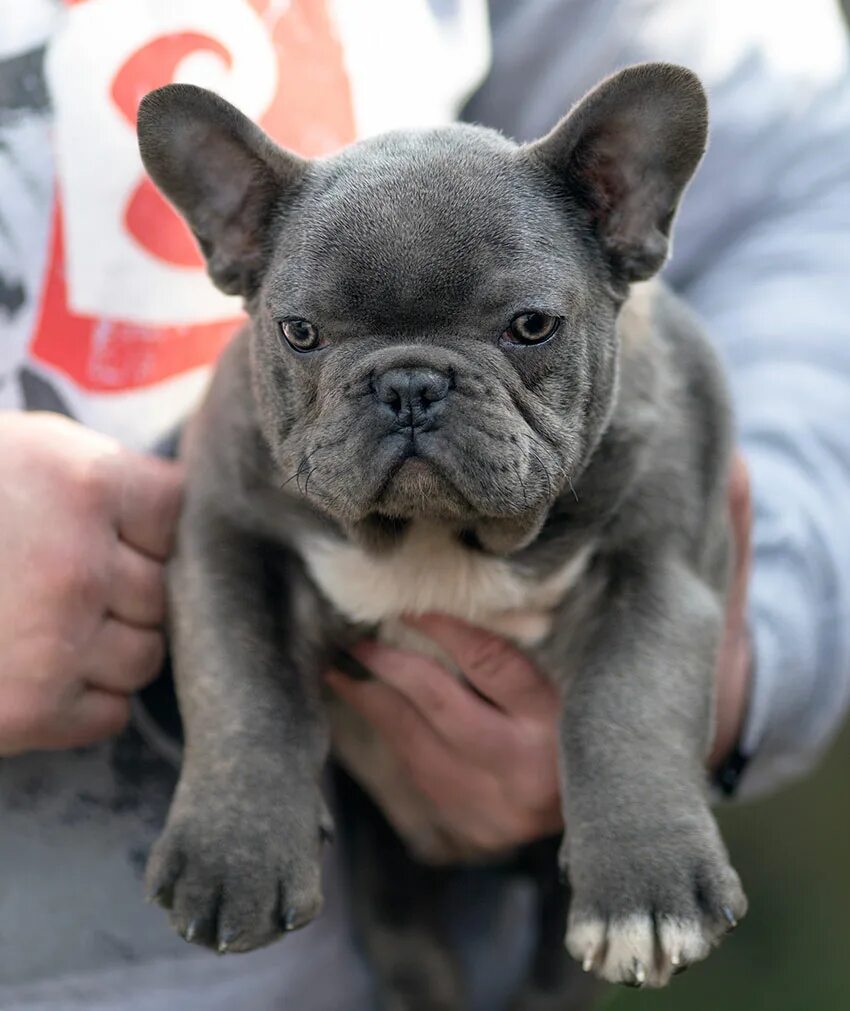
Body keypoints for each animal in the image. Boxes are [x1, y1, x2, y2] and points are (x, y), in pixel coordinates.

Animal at [136, 65, 747, 1011]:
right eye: (299, 332)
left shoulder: (655, 571)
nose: (410, 383)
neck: (434, 539)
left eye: (531, 326)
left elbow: (628, 706)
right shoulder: (226, 542)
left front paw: (645, 891)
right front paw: (232, 856)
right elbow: (242, 687)